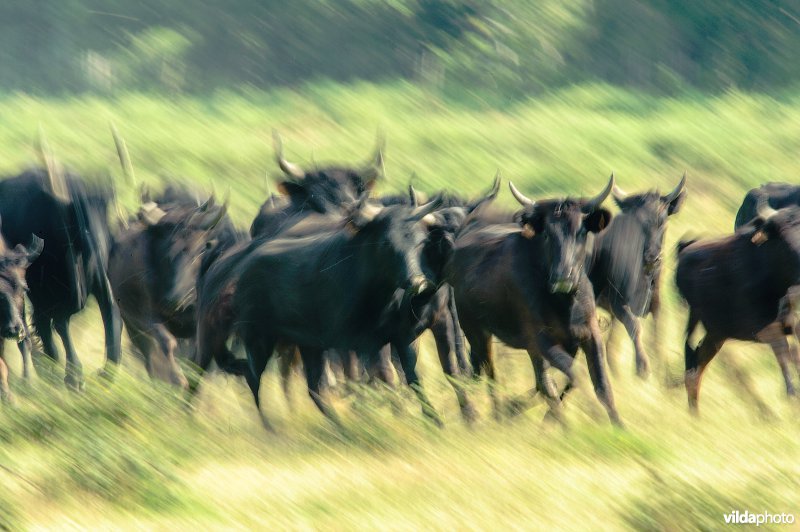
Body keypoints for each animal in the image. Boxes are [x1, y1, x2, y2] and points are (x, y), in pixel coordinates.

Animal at [588, 176, 688, 378]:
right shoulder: (618, 304)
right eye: (636, 223)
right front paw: (642, 367)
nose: (652, 257)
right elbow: (635, 327)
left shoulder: (656, 303)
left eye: (662, 220)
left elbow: (657, 335)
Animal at [680, 200, 800, 412]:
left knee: (698, 363)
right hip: (703, 325)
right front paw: (792, 398)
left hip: (716, 334)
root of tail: (685, 250)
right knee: (694, 364)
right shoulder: (766, 330)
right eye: (783, 237)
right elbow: (785, 358)